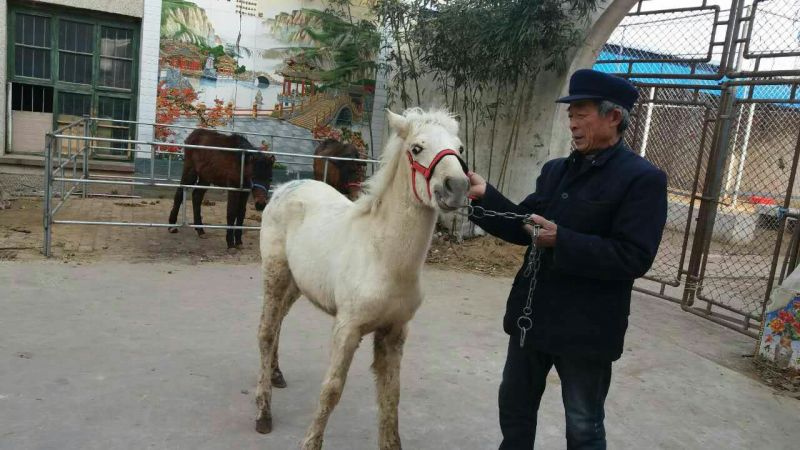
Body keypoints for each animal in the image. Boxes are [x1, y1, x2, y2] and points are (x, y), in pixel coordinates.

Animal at [254, 107, 469, 449]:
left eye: (459, 149)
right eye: (416, 148)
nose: (457, 187)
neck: (383, 258)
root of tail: (285, 188)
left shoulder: (394, 333)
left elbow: (391, 396)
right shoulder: (347, 328)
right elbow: (331, 390)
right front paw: (310, 442)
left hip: (298, 283)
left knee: (277, 325)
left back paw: (276, 375)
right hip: (275, 272)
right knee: (265, 331)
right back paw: (263, 412)